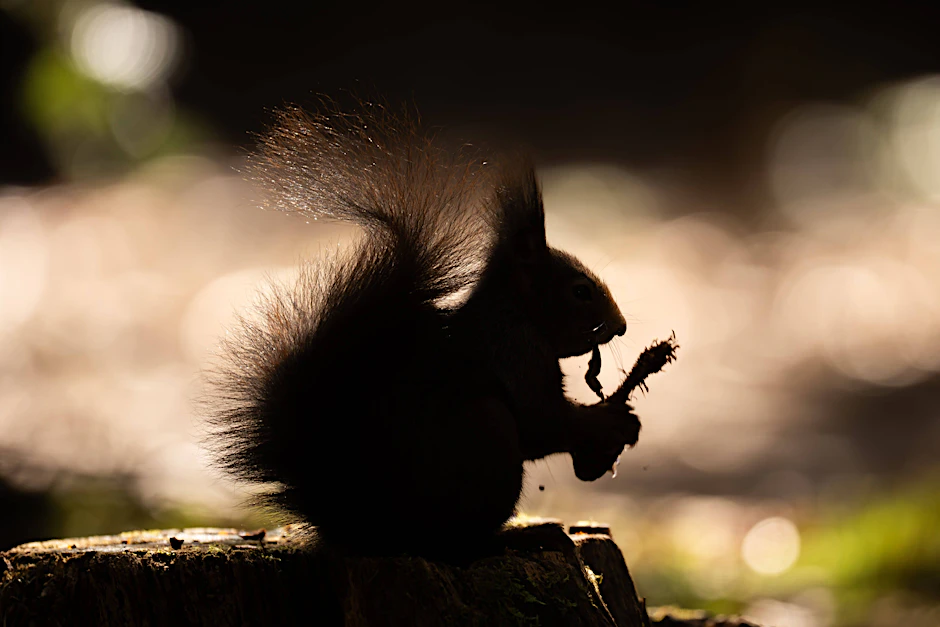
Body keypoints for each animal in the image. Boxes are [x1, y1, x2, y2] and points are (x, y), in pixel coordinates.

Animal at [205, 100, 641, 560]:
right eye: (580, 291)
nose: (621, 326)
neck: (514, 312)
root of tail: (362, 523)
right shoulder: (512, 350)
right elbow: (540, 420)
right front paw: (611, 422)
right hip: (483, 436)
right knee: (457, 541)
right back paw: (521, 536)